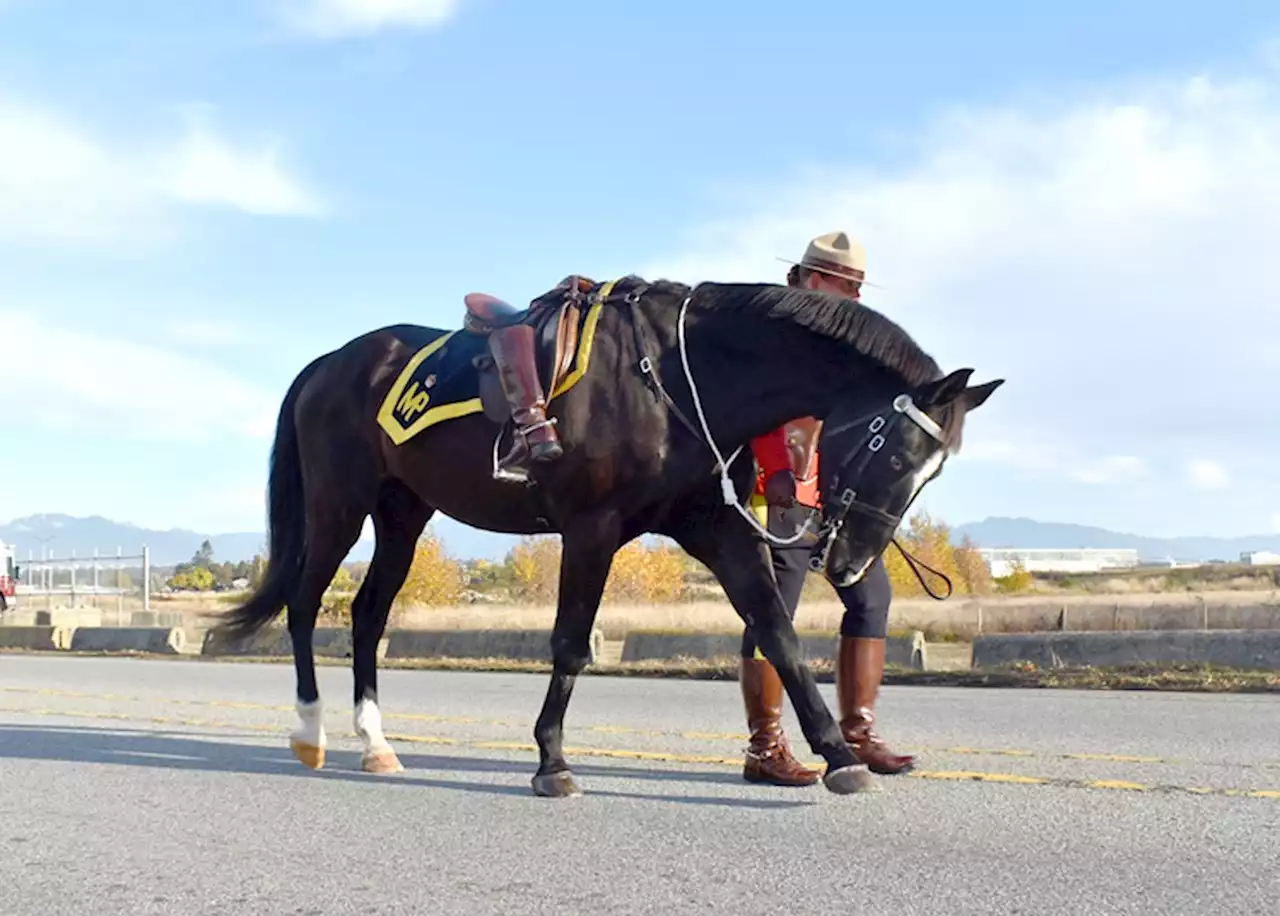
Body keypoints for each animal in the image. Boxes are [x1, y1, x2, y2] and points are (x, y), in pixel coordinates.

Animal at [217, 275, 998, 798]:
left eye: (929, 473)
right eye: (893, 453)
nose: (852, 561)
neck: (680, 377)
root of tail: (329, 363)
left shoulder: (716, 527)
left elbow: (777, 633)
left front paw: (840, 756)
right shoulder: (590, 531)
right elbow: (570, 644)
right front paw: (552, 761)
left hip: (403, 513)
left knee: (367, 614)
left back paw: (376, 743)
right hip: (339, 505)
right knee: (305, 604)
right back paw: (310, 733)